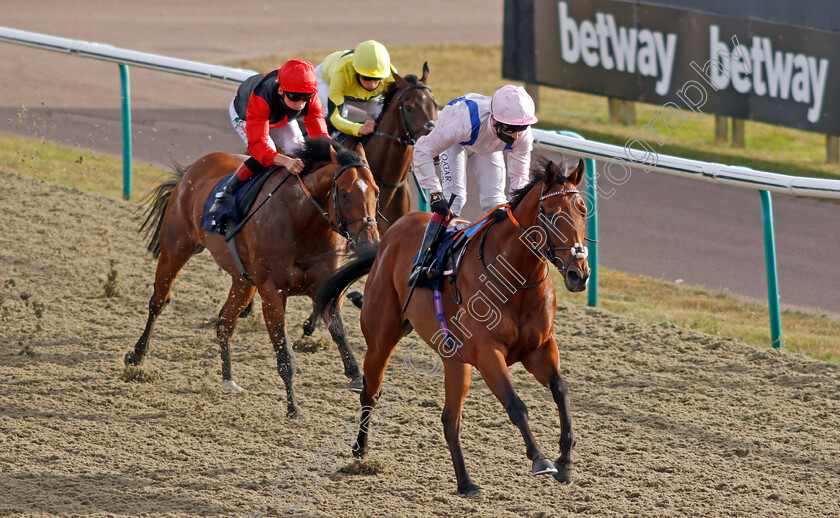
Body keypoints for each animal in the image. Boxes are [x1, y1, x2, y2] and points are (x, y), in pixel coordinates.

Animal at [125, 138, 380, 418]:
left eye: (377, 192)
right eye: (344, 194)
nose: (370, 242)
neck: (301, 221)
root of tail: (192, 170)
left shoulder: (326, 288)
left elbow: (340, 333)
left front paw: (357, 377)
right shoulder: (271, 291)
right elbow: (284, 353)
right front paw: (293, 407)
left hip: (243, 281)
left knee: (225, 322)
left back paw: (228, 379)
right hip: (175, 249)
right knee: (158, 302)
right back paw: (137, 356)